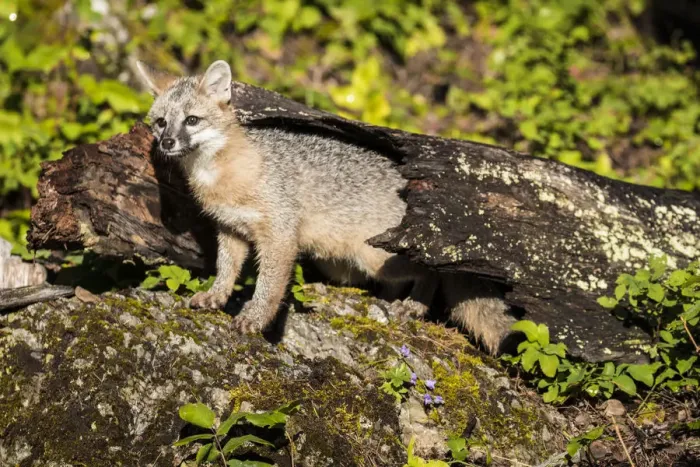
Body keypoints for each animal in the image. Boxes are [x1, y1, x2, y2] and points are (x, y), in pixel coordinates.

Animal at [134, 59, 516, 354]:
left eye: (192, 120)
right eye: (161, 122)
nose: (167, 143)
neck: (224, 175)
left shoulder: (280, 237)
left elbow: (268, 288)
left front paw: (254, 319)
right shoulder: (231, 230)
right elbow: (225, 271)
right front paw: (215, 297)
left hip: (375, 257)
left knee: (431, 272)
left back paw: (414, 306)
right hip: (343, 263)